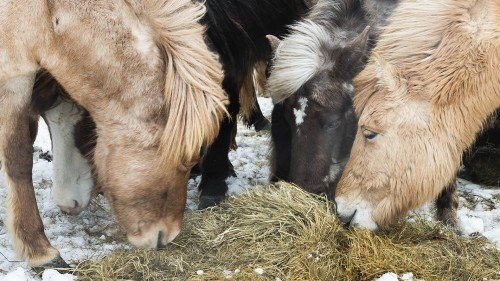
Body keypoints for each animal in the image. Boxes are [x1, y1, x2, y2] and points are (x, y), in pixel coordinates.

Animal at [0, 0, 227, 266]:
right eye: (189, 161)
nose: (166, 236)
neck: (49, 12)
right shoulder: (13, 77)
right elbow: (18, 157)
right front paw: (38, 249)